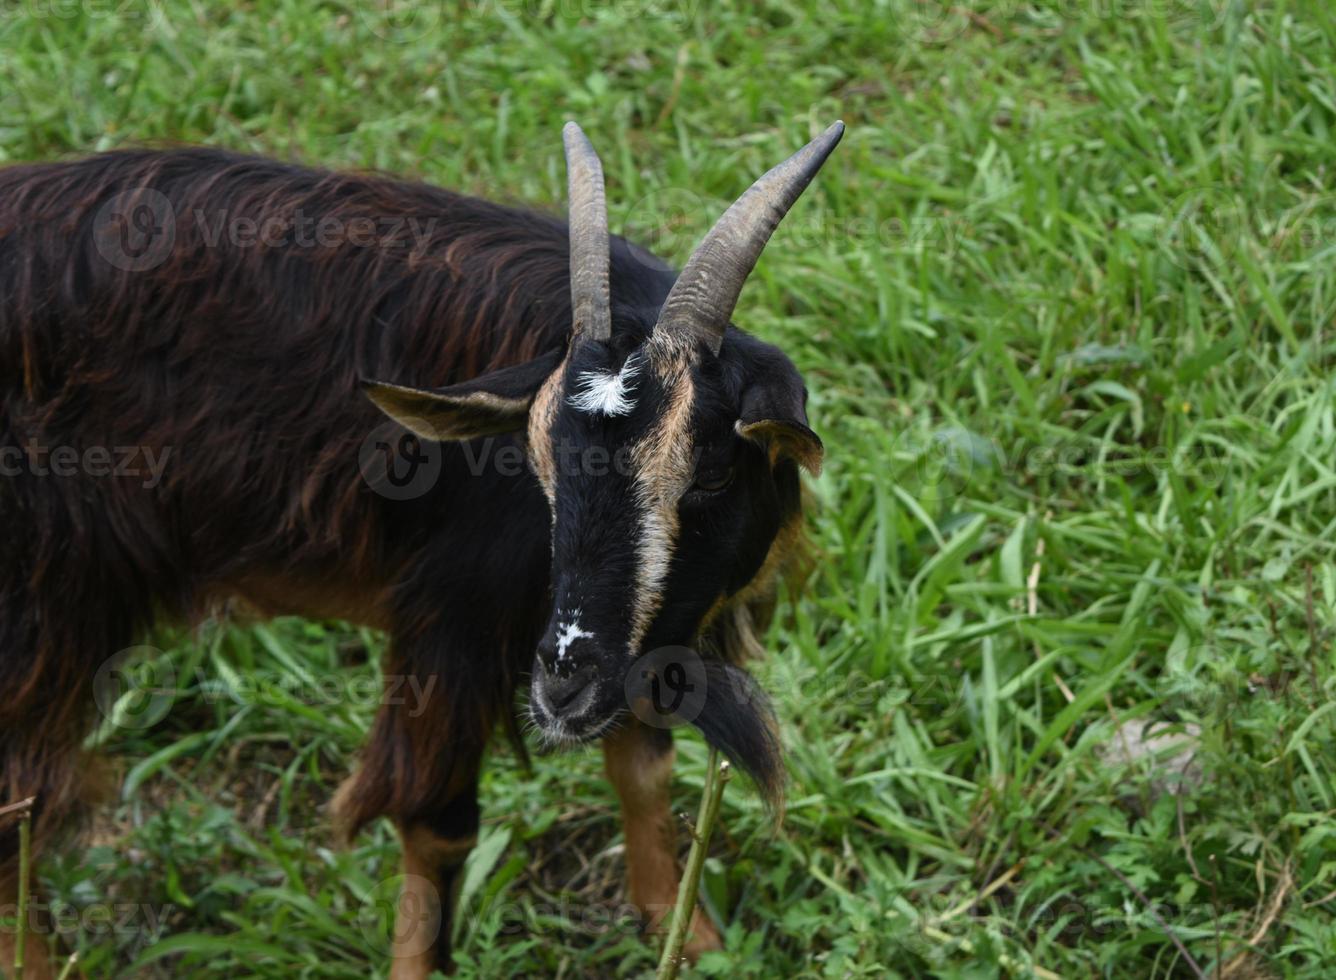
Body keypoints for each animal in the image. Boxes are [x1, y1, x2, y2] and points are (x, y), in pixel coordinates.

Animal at [0, 118, 839, 977]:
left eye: (709, 472)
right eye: (535, 459)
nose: (562, 688)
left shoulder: (644, 638)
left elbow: (643, 765)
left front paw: (686, 935)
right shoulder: (455, 616)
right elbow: (437, 822)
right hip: (44, 598)